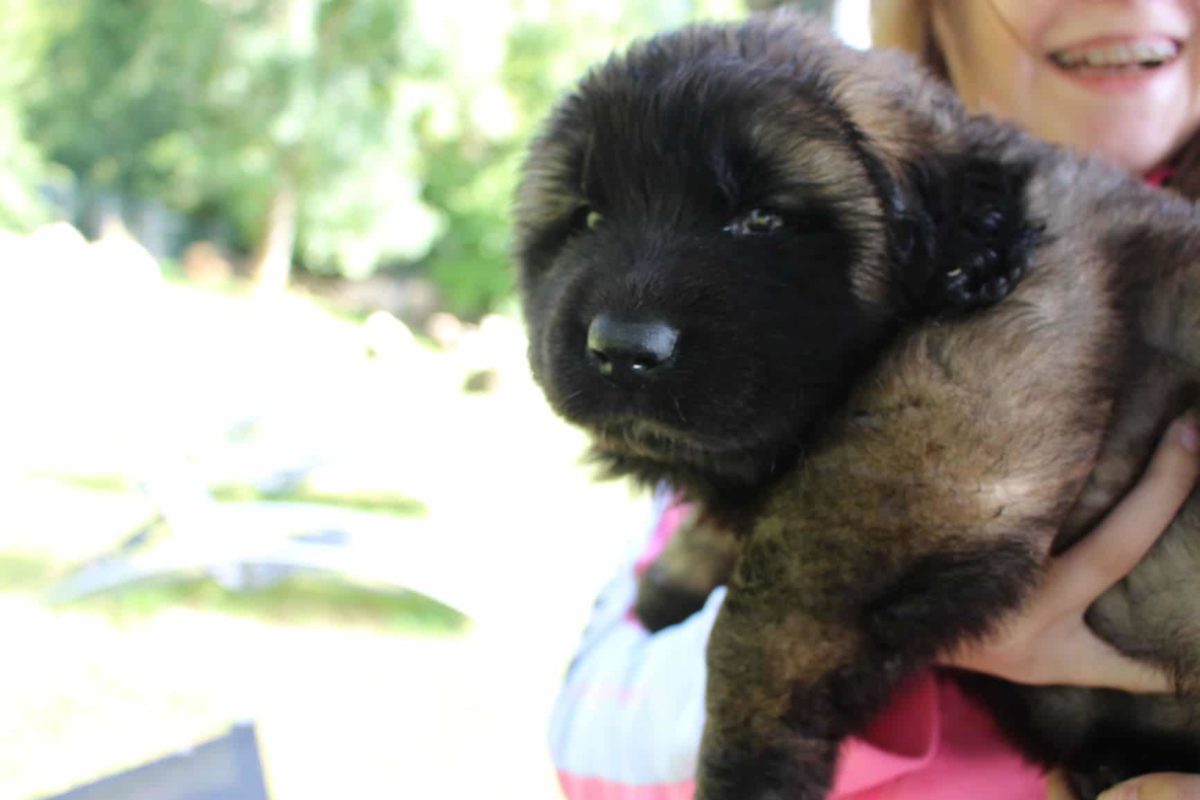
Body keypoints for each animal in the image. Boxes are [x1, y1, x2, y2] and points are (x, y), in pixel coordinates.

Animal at [518, 12, 1200, 800]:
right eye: (589, 217)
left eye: (762, 219)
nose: (624, 348)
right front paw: (674, 576)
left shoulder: (937, 447)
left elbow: (760, 616)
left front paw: (742, 767)